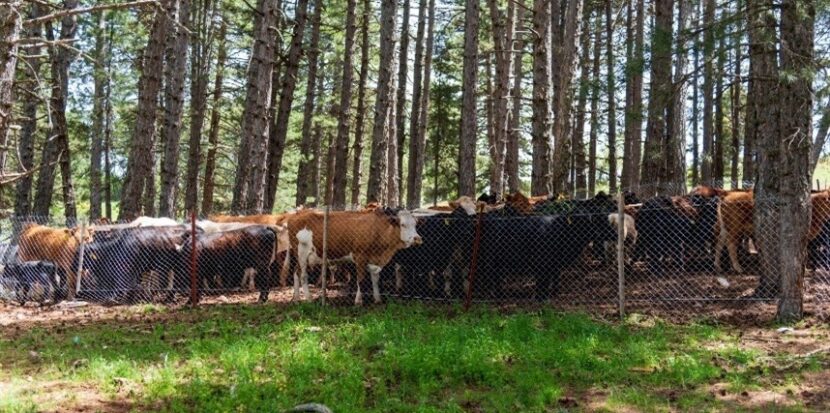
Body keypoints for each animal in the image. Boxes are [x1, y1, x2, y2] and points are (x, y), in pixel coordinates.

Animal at [286, 208, 422, 305]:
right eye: (403, 224)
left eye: (415, 224)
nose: (417, 238)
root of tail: (296, 214)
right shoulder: (360, 256)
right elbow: (360, 279)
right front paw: (358, 301)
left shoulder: (375, 260)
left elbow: (375, 279)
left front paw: (377, 299)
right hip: (302, 253)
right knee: (303, 275)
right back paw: (308, 299)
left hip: (300, 256)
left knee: (295, 272)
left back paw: (296, 299)